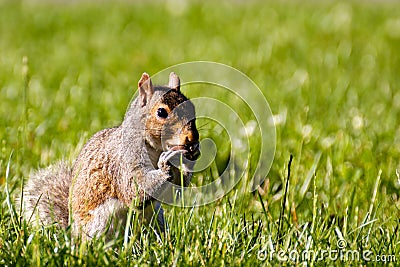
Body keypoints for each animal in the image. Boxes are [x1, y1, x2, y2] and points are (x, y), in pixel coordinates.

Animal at [22, 72, 200, 240]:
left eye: (192, 107)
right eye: (161, 112)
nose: (192, 137)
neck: (155, 149)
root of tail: (73, 233)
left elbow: (174, 192)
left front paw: (192, 155)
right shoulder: (123, 161)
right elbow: (132, 190)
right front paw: (164, 166)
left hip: (156, 217)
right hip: (102, 221)